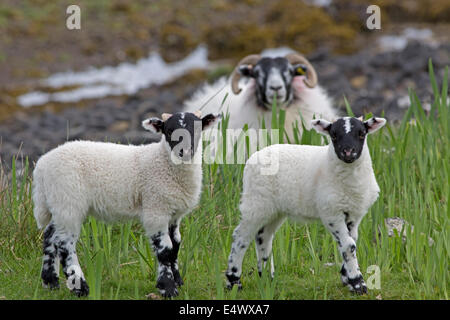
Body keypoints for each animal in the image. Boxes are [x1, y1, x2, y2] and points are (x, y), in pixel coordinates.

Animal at [32, 110, 220, 298]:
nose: (184, 151)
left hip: (59, 203)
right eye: (169, 130)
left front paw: (178, 280)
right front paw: (167, 287)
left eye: (197, 129)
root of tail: (41, 166)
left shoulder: (174, 214)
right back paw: (80, 287)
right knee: (64, 244)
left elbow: (175, 245)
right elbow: (165, 250)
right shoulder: (156, 208)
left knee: (50, 236)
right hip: (69, 200)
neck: (163, 161)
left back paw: (50, 282)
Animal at [225, 116, 386, 294]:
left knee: (263, 236)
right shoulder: (331, 212)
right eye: (334, 135)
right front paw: (358, 283)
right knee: (241, 237)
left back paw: (268, 278)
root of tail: (254, 157)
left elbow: (351, 242)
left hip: (274, 209)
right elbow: (349, 245)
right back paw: (234, 281)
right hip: (256, 202)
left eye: (362, 133)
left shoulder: (353, 214)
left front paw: (347, 278)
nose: (348, 152)